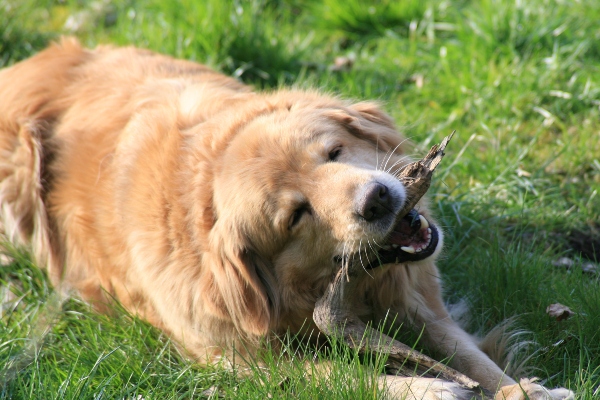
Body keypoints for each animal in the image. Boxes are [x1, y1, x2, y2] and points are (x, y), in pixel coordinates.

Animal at [0, 38, 576, 400]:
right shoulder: (235, 358)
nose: (378, 200)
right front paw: (426, 388)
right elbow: (336, 374)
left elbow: (471, 355)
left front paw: (524, 389)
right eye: (298, 214)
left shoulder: (416, 298)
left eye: (334, 152)